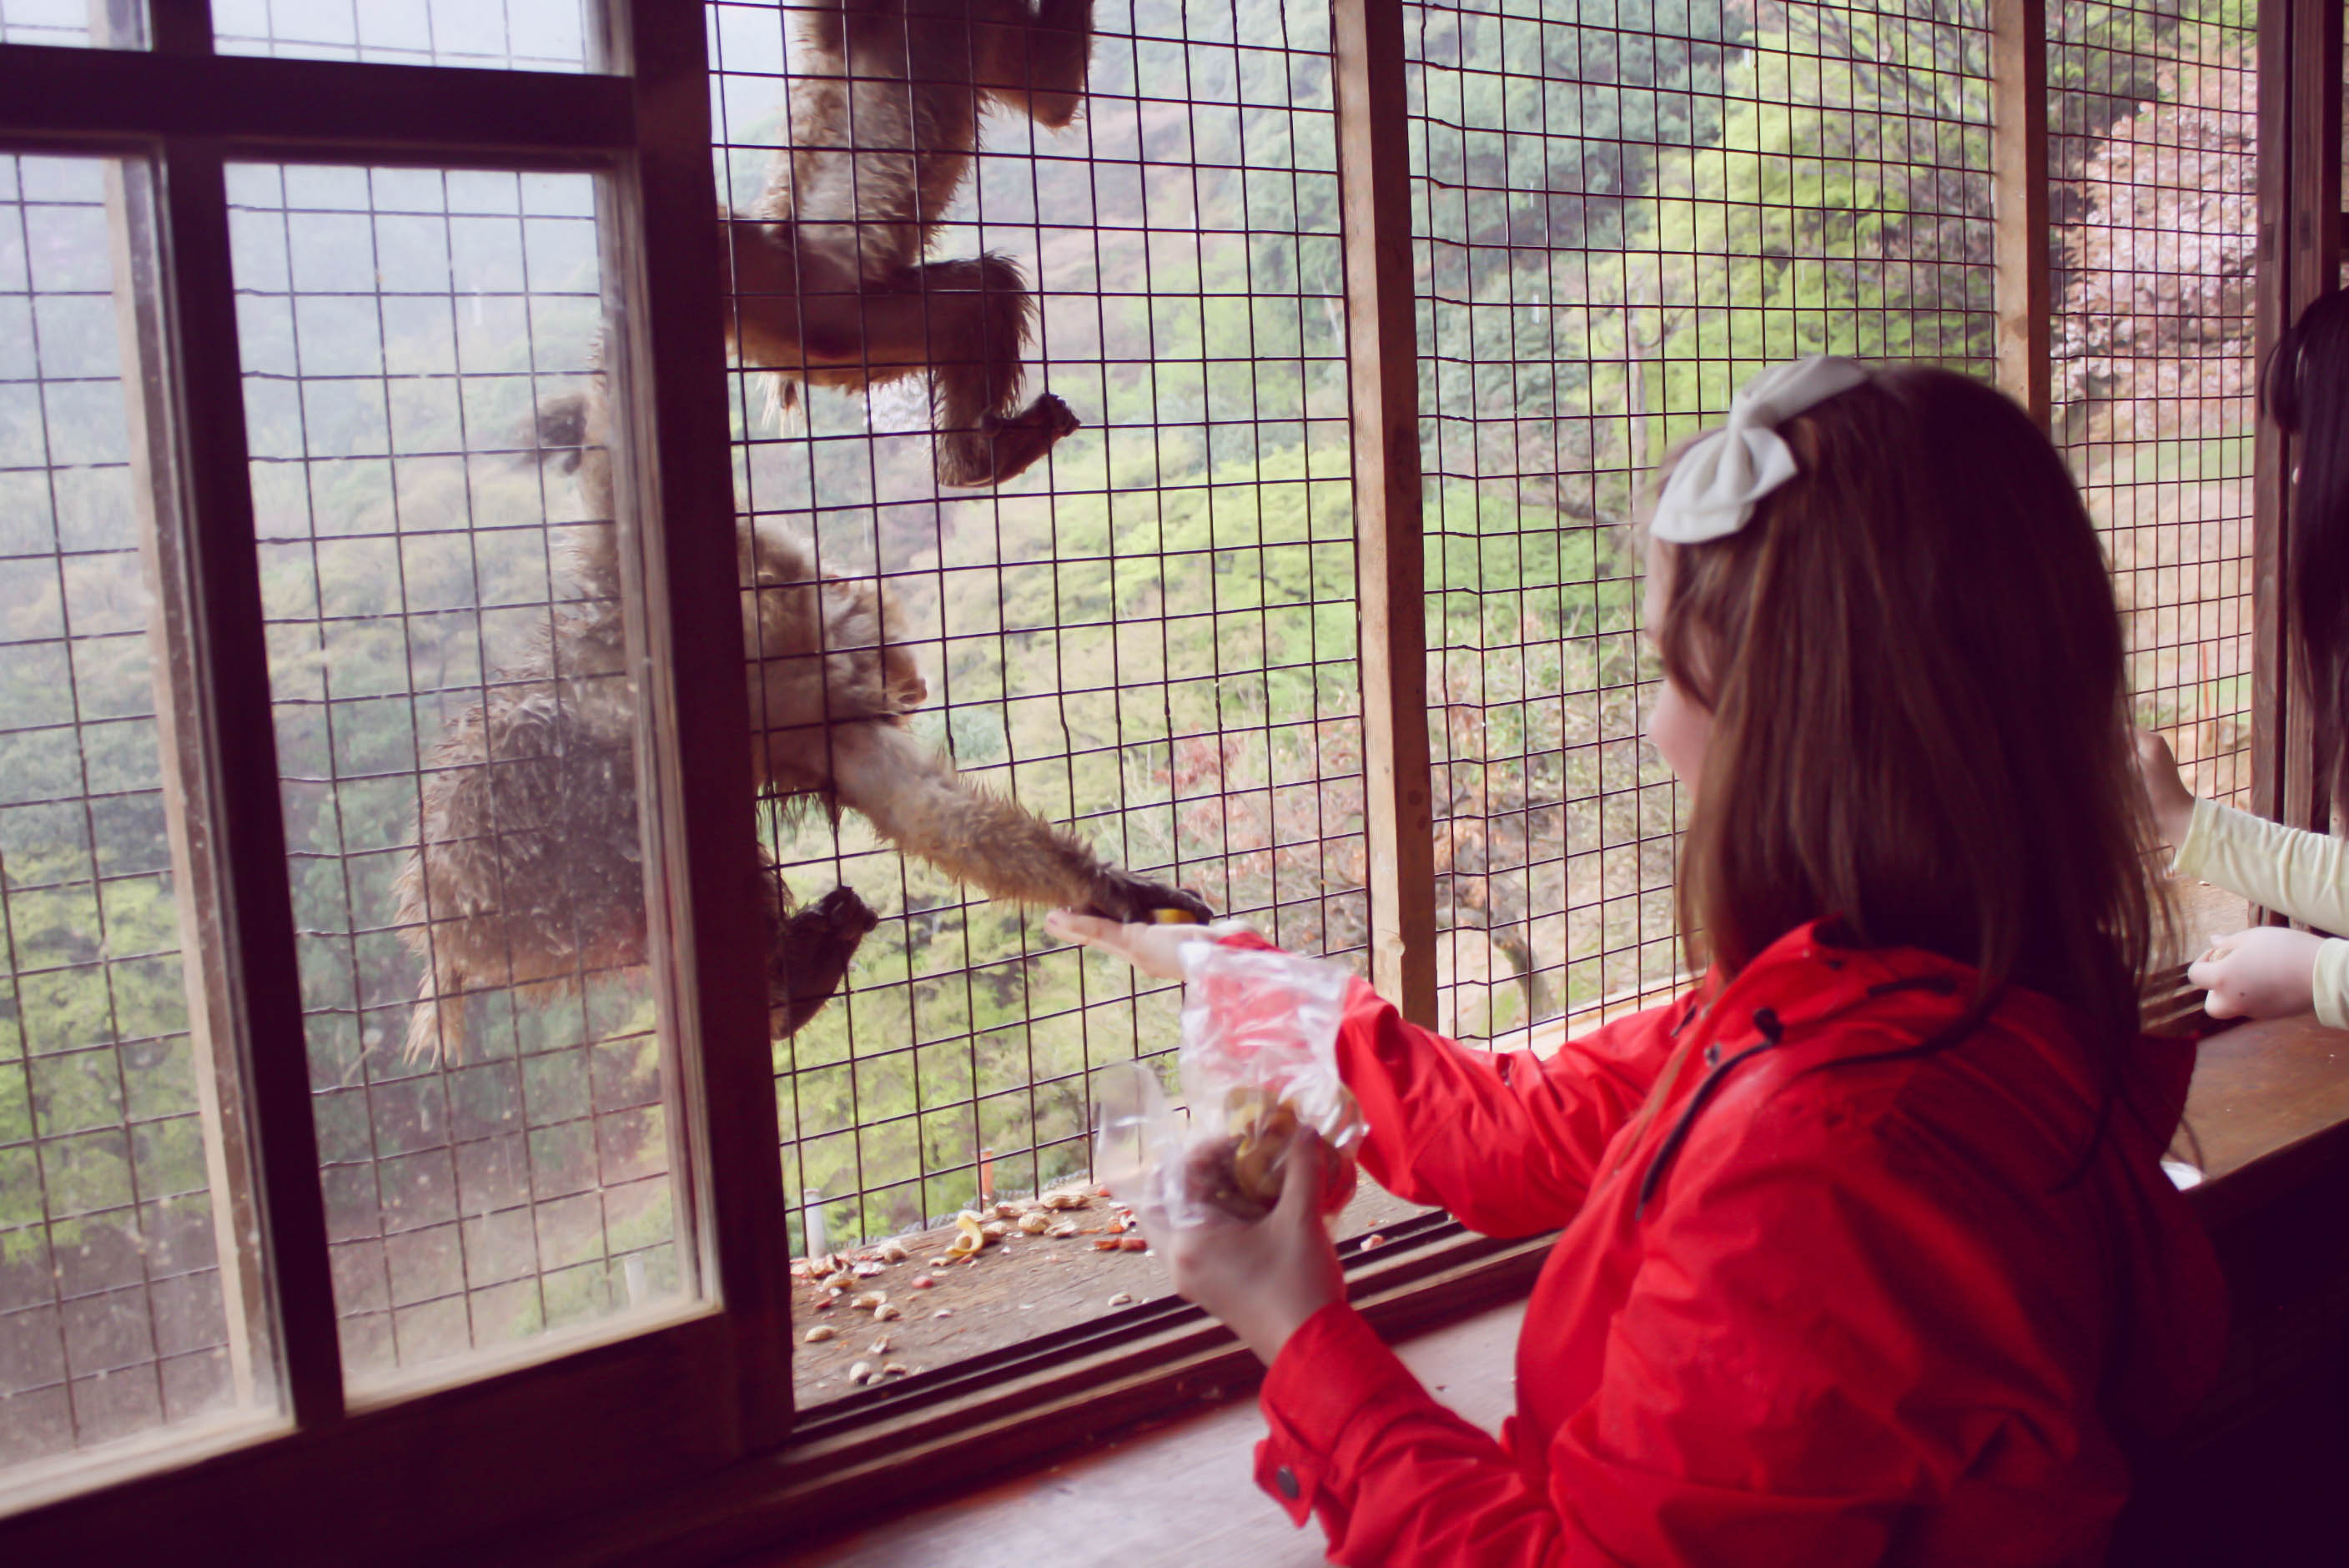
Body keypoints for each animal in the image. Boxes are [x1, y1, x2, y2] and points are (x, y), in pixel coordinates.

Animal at [392, 375, 1202, 1065]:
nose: (912, 682)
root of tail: (439, 920)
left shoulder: (821, 708)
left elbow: (930, 814)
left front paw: (1111, 891)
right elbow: (621, 530)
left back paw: (788, 981)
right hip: (507, 874)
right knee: (559, 773)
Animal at [727, 0, 1094, 483]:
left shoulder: (991, 14)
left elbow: (1050, 95)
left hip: (851, 335)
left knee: (986, 293)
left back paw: (972, 461)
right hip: (798, 297)